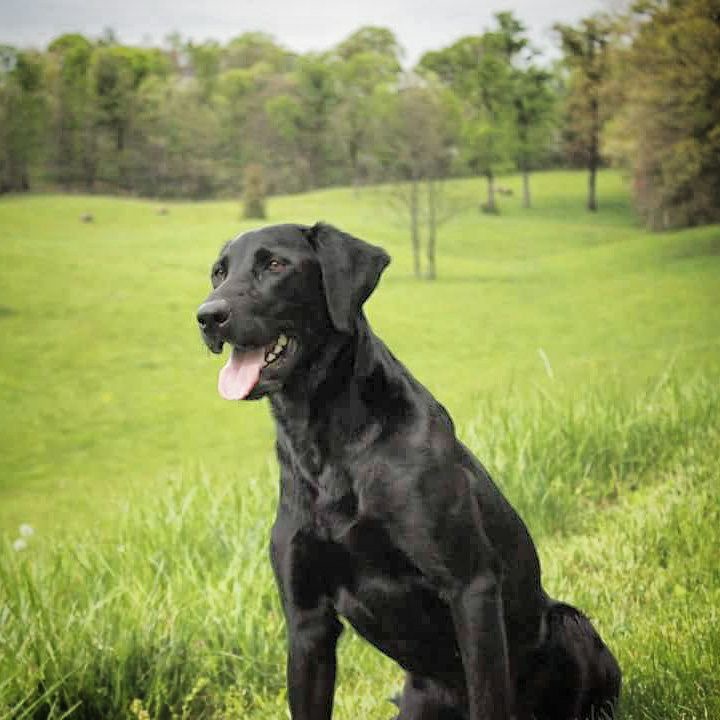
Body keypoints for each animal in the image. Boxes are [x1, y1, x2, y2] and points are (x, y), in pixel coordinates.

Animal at [195, 222, 620, 716]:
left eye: (275, 264)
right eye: (218, 272)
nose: (207, 316)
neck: (327, 446)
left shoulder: (470, 586)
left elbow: (489, 696)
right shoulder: (306, 623)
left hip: (570, 625)